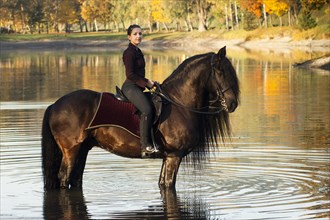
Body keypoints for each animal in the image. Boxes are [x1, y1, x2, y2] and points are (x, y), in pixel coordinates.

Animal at [42, 46, 240, 191]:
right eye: (220, 72)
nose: (233, 103)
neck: (178, 101)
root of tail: (54, 105)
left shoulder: (167, 157)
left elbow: (163, 185)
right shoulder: (174, 156)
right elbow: (169, 185)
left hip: (82, 149)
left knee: (75, 179)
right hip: (71, 150)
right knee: (64, 178)